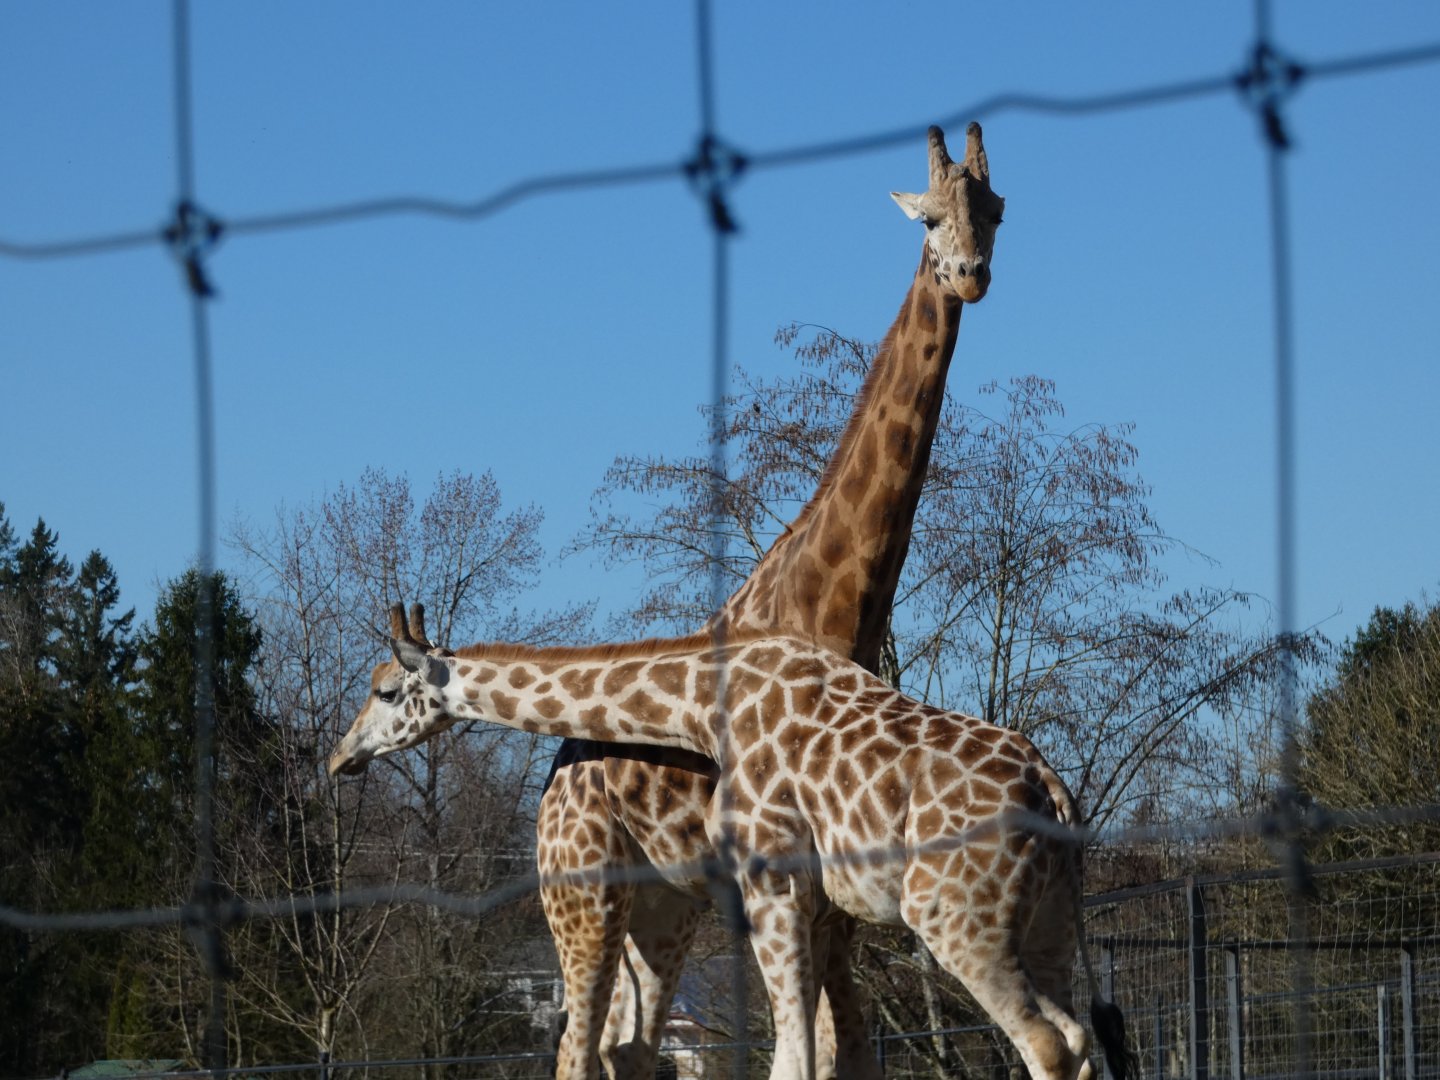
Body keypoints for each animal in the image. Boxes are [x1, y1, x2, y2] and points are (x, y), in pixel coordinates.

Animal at [328, 606, 1136, 1080]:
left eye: (386, 692)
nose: (340, 759)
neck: (701, 704)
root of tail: (1054, 790)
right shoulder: (807, 904)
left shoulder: (774, 886)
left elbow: (794, 1062)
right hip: (1046, 923)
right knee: (1076, 1039)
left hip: (955, 918)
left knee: (1044, 1042)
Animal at [538, 122, 1006, 1080]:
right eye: (929, 217)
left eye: (999, 210)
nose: (969, 273)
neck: (832, 611)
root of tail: (552, 775)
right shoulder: (787, 891)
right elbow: (805, 1057)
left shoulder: (834, 908)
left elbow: (846, 1052)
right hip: (585, 897)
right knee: (575, 1047)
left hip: (662, 910)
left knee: (624, 1045)